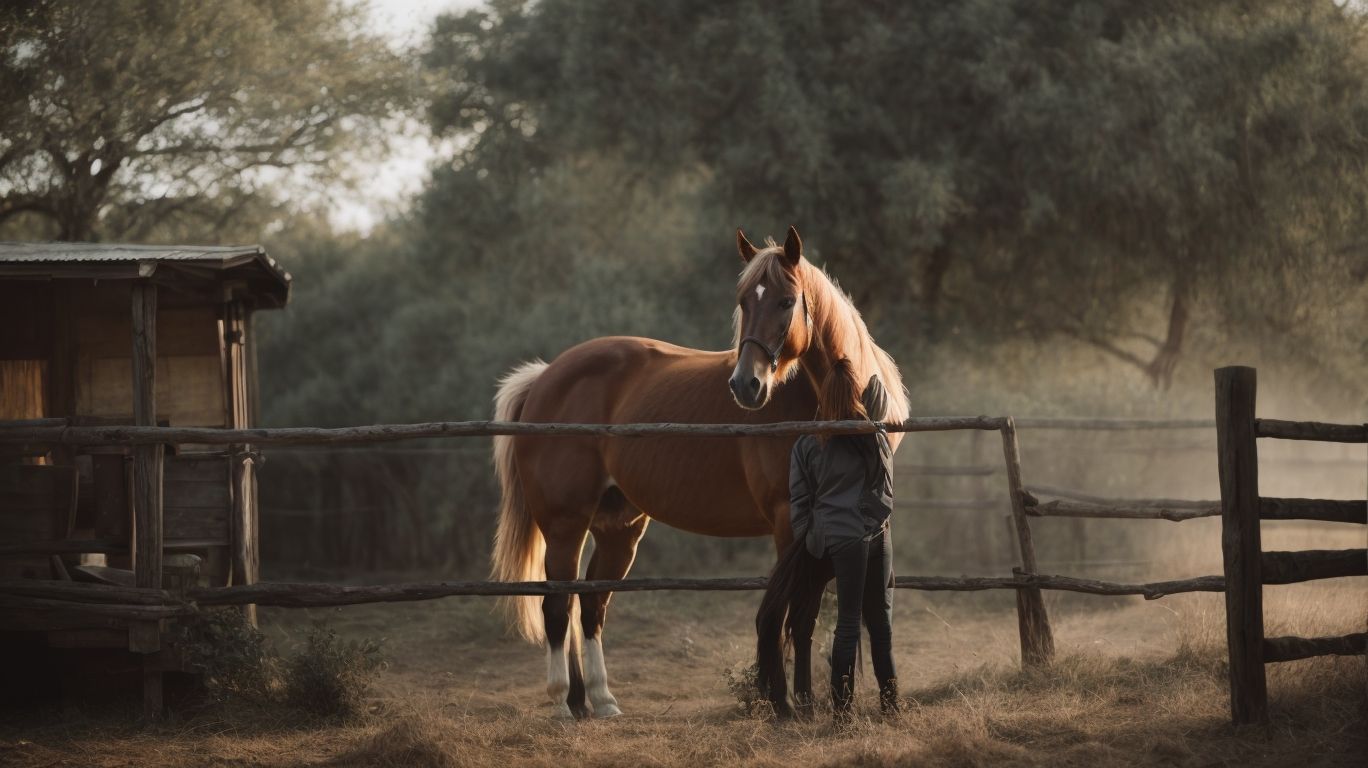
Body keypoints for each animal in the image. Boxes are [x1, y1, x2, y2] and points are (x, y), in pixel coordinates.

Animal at [490, 226, 909, 718]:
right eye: (744, 300)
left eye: (787, 301)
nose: (747, 385)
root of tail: (544, 378)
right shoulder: (789, 523)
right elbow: (792, 613)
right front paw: (787, 702)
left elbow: (803, 615)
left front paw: (800, 700)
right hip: (564, 525)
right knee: (557, 606)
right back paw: (561, 703)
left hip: (618, 528)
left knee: (590, 604)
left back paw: (597, 700)